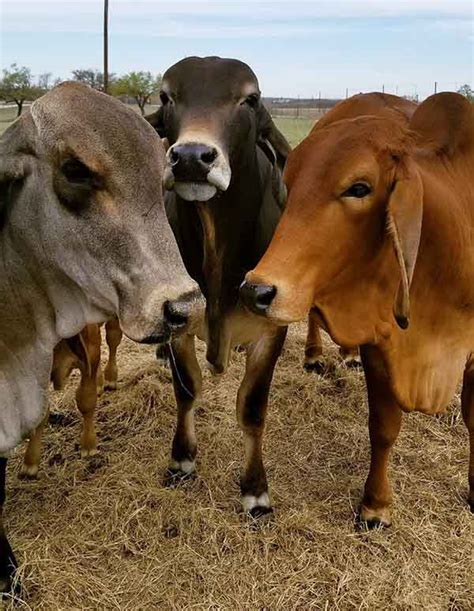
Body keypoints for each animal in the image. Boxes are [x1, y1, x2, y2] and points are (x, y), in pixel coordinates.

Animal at [146, 56, 290, 516]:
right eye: (166, 96)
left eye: (251, 98)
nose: (192, 157)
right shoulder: (179, 318)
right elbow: (188, 389)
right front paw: (182, 460)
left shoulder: (271, 330)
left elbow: (252, 407)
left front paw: (255, 489)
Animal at [241, 93, 474, 528]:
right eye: (290, 187)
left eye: (359, 187)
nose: (256, 290)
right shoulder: (380, 343)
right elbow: (383, 426)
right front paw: (376, 505)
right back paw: (317, 354)